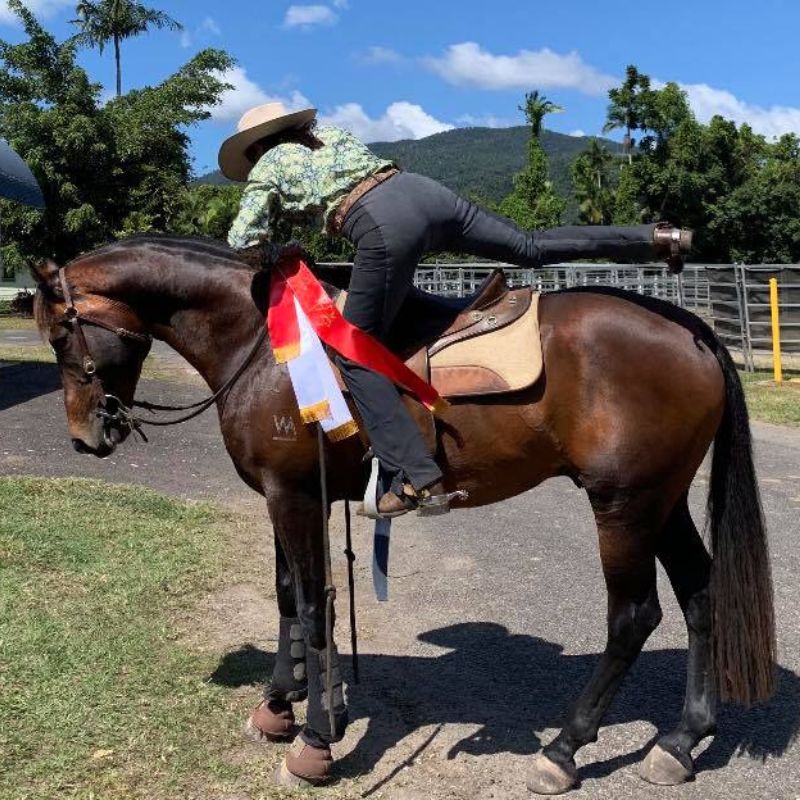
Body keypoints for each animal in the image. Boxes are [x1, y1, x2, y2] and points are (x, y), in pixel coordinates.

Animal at [32, 236, 776, 792]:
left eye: (64, 337)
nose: (86, 437)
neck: (260, 346)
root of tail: (692, 331)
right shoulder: (280, 495)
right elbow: (287, 595)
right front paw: (278, 705)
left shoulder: (294, 496)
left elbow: (314, 604)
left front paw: (316, 738)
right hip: (661, 499)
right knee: (701, 592)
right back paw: (681, 741)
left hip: (623, 504)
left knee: (634, 616)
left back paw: (564, 750)